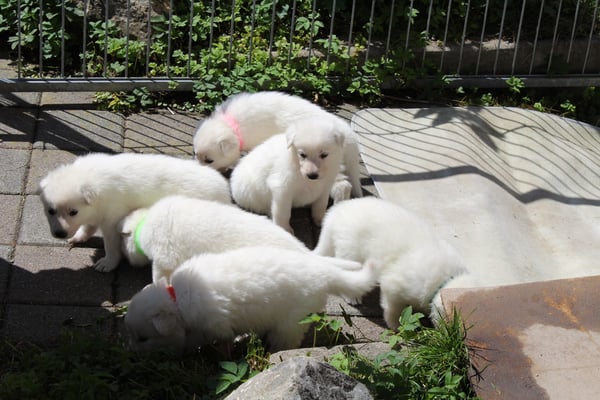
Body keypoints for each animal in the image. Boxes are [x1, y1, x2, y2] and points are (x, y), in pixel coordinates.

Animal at [39, 153, 231, 273]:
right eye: (50, 210)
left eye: (73, 212)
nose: (59, 234)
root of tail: (224, 189)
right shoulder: (96, 212)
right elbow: (88, 226)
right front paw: (78, 237)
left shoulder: (112, 218)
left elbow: (110, 245)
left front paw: (108, 263)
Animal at [124, 246, 377, 353]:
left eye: (144, 338)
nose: (131, 353)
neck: (176, 298)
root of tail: (323, 273)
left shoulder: (212, 325)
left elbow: (200, 340)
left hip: (290, 323)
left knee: (286, 340)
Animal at [192, 91, 363, 199]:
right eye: (195, 154)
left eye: (209, 160)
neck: (234, 126)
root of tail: (347, 134)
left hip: (328, 165)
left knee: (343, 186)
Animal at [313, 197, 467, 330]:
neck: (446, 279)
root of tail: (337, 210)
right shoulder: (394, 286)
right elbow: (394, 310)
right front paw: (396, 326)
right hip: (351, 252)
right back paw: (353, 296)